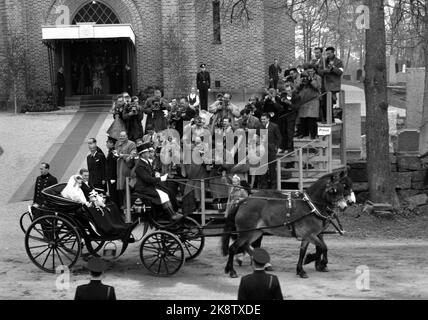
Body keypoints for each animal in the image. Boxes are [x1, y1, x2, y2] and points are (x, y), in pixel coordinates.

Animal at [222, 171, 350, 278]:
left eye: (341, 189)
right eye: (332, 190)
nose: (344, 206)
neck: (310, 206)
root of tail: (243, 201)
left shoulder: (309, 235)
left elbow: (304, 251)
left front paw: (301, 270)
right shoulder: (310, 235)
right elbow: (323, 247)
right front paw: (314, 261)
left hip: (255, 232)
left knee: (246, 246)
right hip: (246, 233)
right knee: (233, 248)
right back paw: (232, 271)